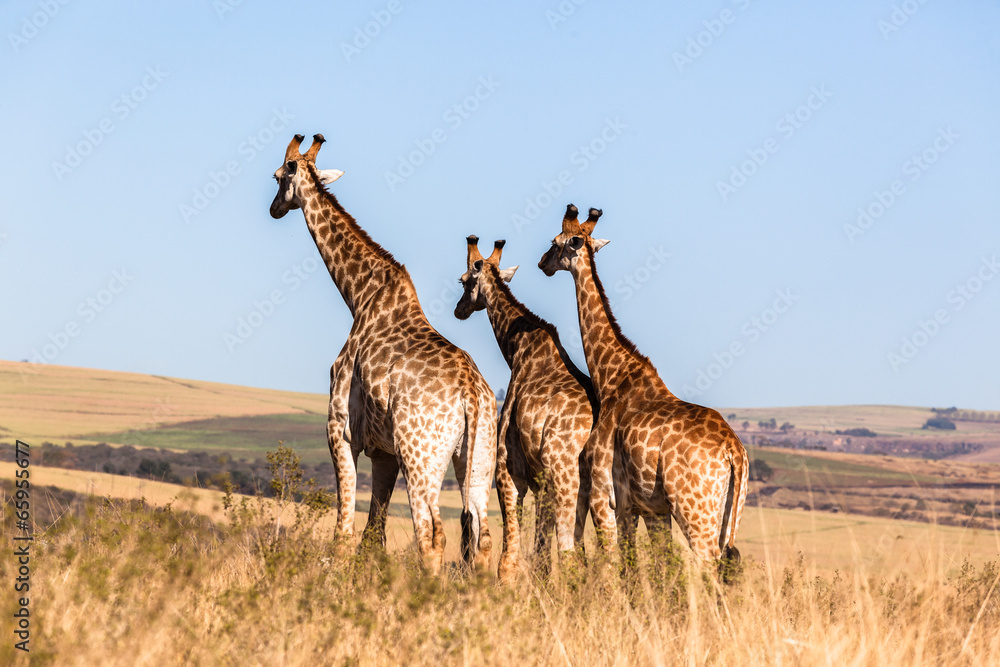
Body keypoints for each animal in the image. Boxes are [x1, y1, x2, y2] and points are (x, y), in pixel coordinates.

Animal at [268, 133, 495, 573]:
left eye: (277, 176)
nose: (273, 209)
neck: (360, 296)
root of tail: (471, 395)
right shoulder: (385, 453)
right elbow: (373, 536)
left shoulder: (340, 428)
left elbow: (344, 532)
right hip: (479, 460)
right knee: (482, 537)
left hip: (421, 456)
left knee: (432, 535)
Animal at [454, 236, 597, 581]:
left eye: (463, 281)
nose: (458, 310)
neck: (518, 351)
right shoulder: (541, 480)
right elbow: (541, 555)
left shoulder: (509, 468)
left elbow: (511, 553)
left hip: (567, 475)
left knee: (569, 551)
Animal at [537, 204, 748, 575]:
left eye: (556, 241)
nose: (541, 263)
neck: (611, 376)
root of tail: (734, 453)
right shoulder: (649, 508)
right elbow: (648, 568)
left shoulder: (605, 497)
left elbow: (614, 564)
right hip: (729, 516)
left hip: (695, 512)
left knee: (709, 568)